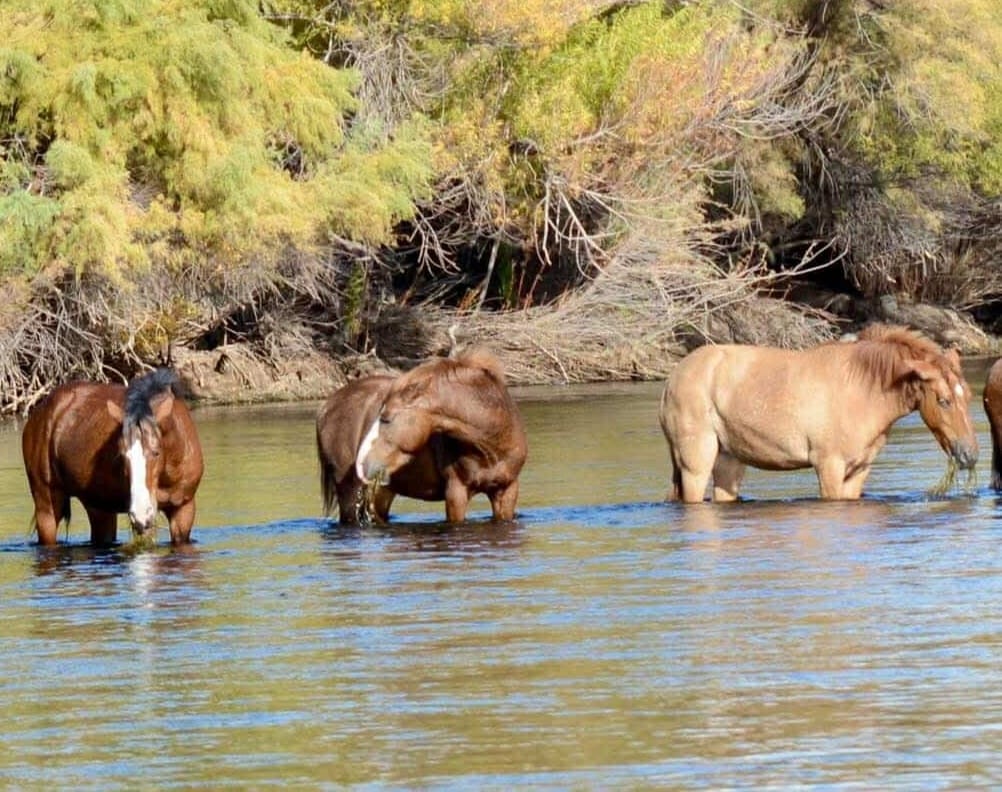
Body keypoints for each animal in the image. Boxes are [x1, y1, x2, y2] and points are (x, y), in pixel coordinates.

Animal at [22, 370, 203, 545]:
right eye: (122, 455)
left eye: (156, 452)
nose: (141, 513)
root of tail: (40, 412)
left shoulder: (184, 509)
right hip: (47, 507)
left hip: (99, 508)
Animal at [657, 324, 977, 503]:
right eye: (944, 400)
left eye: (968, 396)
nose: (970, 455)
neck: (863, 392)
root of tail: (670, 381)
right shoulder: (829, 465)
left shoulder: (859, 469)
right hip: (696, 463)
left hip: (728, 461)